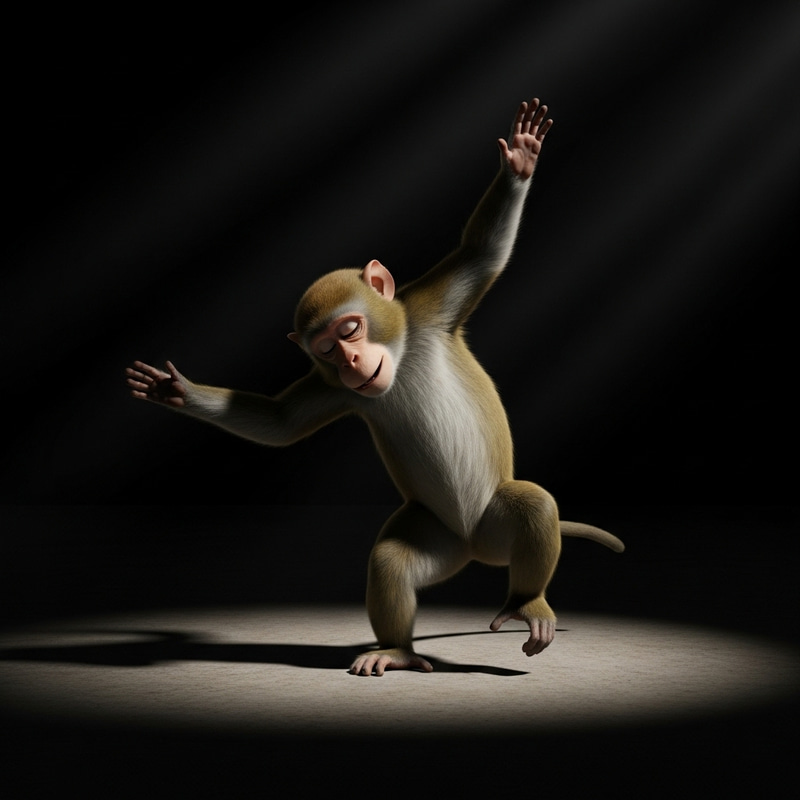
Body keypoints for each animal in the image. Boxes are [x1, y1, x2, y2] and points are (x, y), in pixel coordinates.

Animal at [126, 98, 624, 676]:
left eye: (349, 329)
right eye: (326, 349)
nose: (351, 360)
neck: (401, 355)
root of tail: (476, 549)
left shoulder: (427, 311)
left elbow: (483, 253)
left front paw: (520, 160)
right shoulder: (338, 389)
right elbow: (280, 424)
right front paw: (174, 392)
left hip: (493, 525)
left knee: (534, 505)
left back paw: (526, 600)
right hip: (440, 535)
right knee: (393, 559)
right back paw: (398, 649)